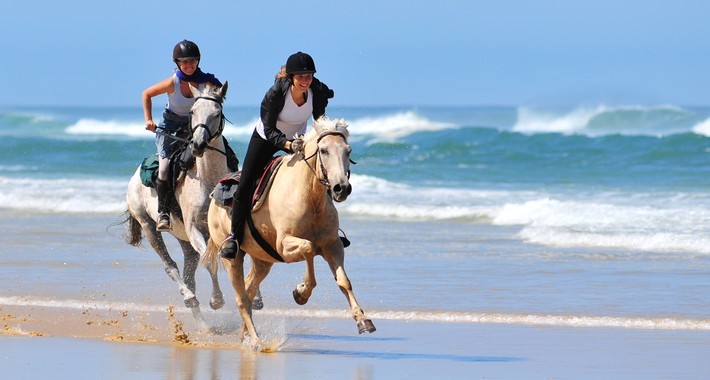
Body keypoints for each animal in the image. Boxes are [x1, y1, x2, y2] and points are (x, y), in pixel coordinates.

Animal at [124, 82, 231, 330]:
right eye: (193, 111)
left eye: (217, 113)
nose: (198, 144)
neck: (208, 179)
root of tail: (134, 177)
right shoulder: (195, 230)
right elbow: (210, 262)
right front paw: (217, 301)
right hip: (149, 226)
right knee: (171, 267)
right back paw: (191, 299)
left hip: (184, 242)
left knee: (189, 275)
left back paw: (202, 323)